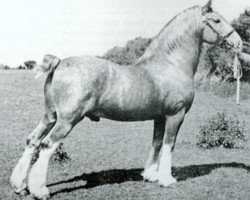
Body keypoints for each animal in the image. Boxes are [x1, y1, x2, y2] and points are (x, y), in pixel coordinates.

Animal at [10, 0, 242, 199]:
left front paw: (150, 175)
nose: (239, 43)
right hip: (67, 120)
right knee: (47, 145)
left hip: (50, 116)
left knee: (33, 141)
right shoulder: (176, 115)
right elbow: (169, 144)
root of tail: (59, 63)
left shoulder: (160, 117)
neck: (171, 64)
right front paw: (166, 179)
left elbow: (156, 143)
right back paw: (40, 191)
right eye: (217, 20)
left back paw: (19, 185)